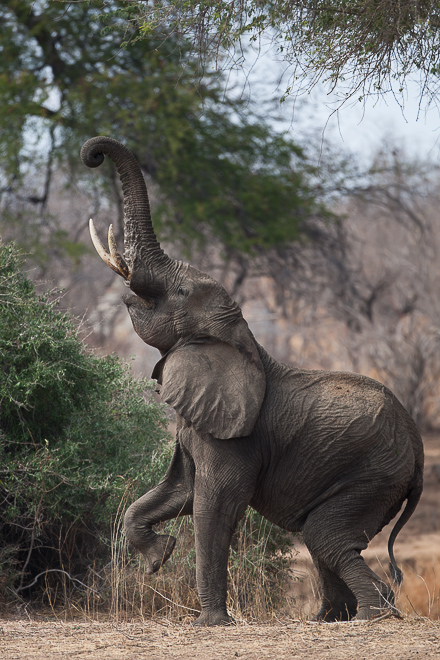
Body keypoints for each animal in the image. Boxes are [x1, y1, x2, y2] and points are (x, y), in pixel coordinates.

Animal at [81, 137, 424, 628]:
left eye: (182, 293)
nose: (92, 154)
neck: (239, 338)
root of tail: (418, 450)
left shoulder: (236, 438)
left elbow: (214, 504)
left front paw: (208, 624)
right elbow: (178, 490)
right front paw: (158, 557)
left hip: (374, 472)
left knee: (327, 537)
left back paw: (370, 617)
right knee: (325, 541)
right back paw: (329, 619)